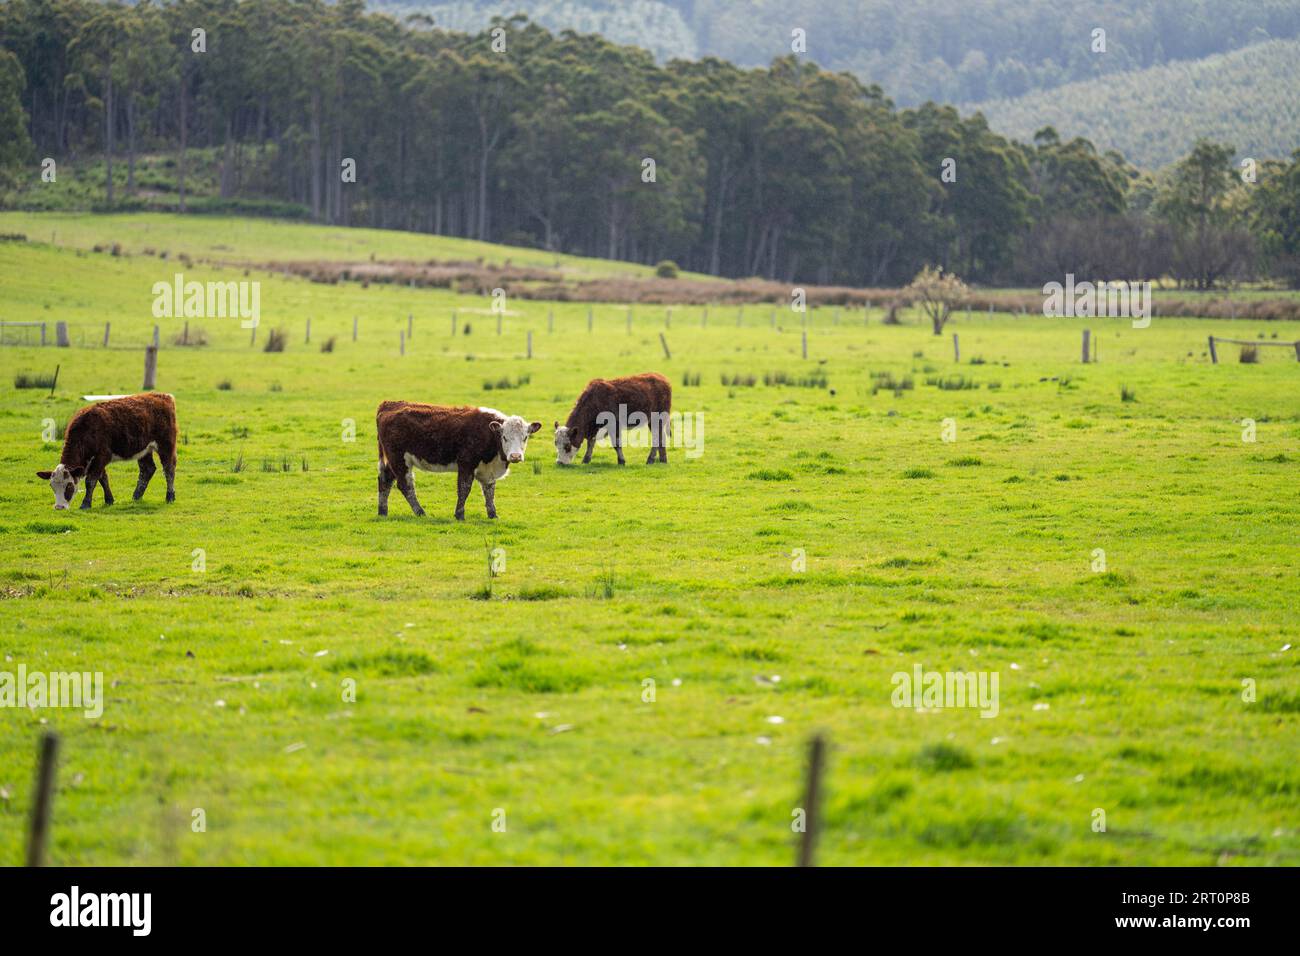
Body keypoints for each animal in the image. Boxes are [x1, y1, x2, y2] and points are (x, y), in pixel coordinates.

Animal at [36, 393, 178, 510]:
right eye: (52, 486)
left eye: (69, 486)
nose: (59, 507)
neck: (87, 430)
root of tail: (163, 396)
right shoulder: (98, 460)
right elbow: (103, 478)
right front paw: (109, 500)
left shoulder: (102, 456)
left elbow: (91, 480)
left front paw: (86, 504)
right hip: (144, 450)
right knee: (147, 469)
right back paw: (136, 496)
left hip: (166, 445)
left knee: (168, 469)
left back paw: (170, 496)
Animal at [376, 402, 540, 520]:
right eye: (504, 437)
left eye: (525, 437)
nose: (515, 456)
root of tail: (389, 404)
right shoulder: (466, 464)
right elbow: (464, 488)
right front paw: (459, 515)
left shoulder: (488, 470)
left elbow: (489, 491)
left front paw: (493, 514)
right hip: (398, 459)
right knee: (405, 485)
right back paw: (420, 512)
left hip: (393, 461)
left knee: (385, 480)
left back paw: (383, 511)